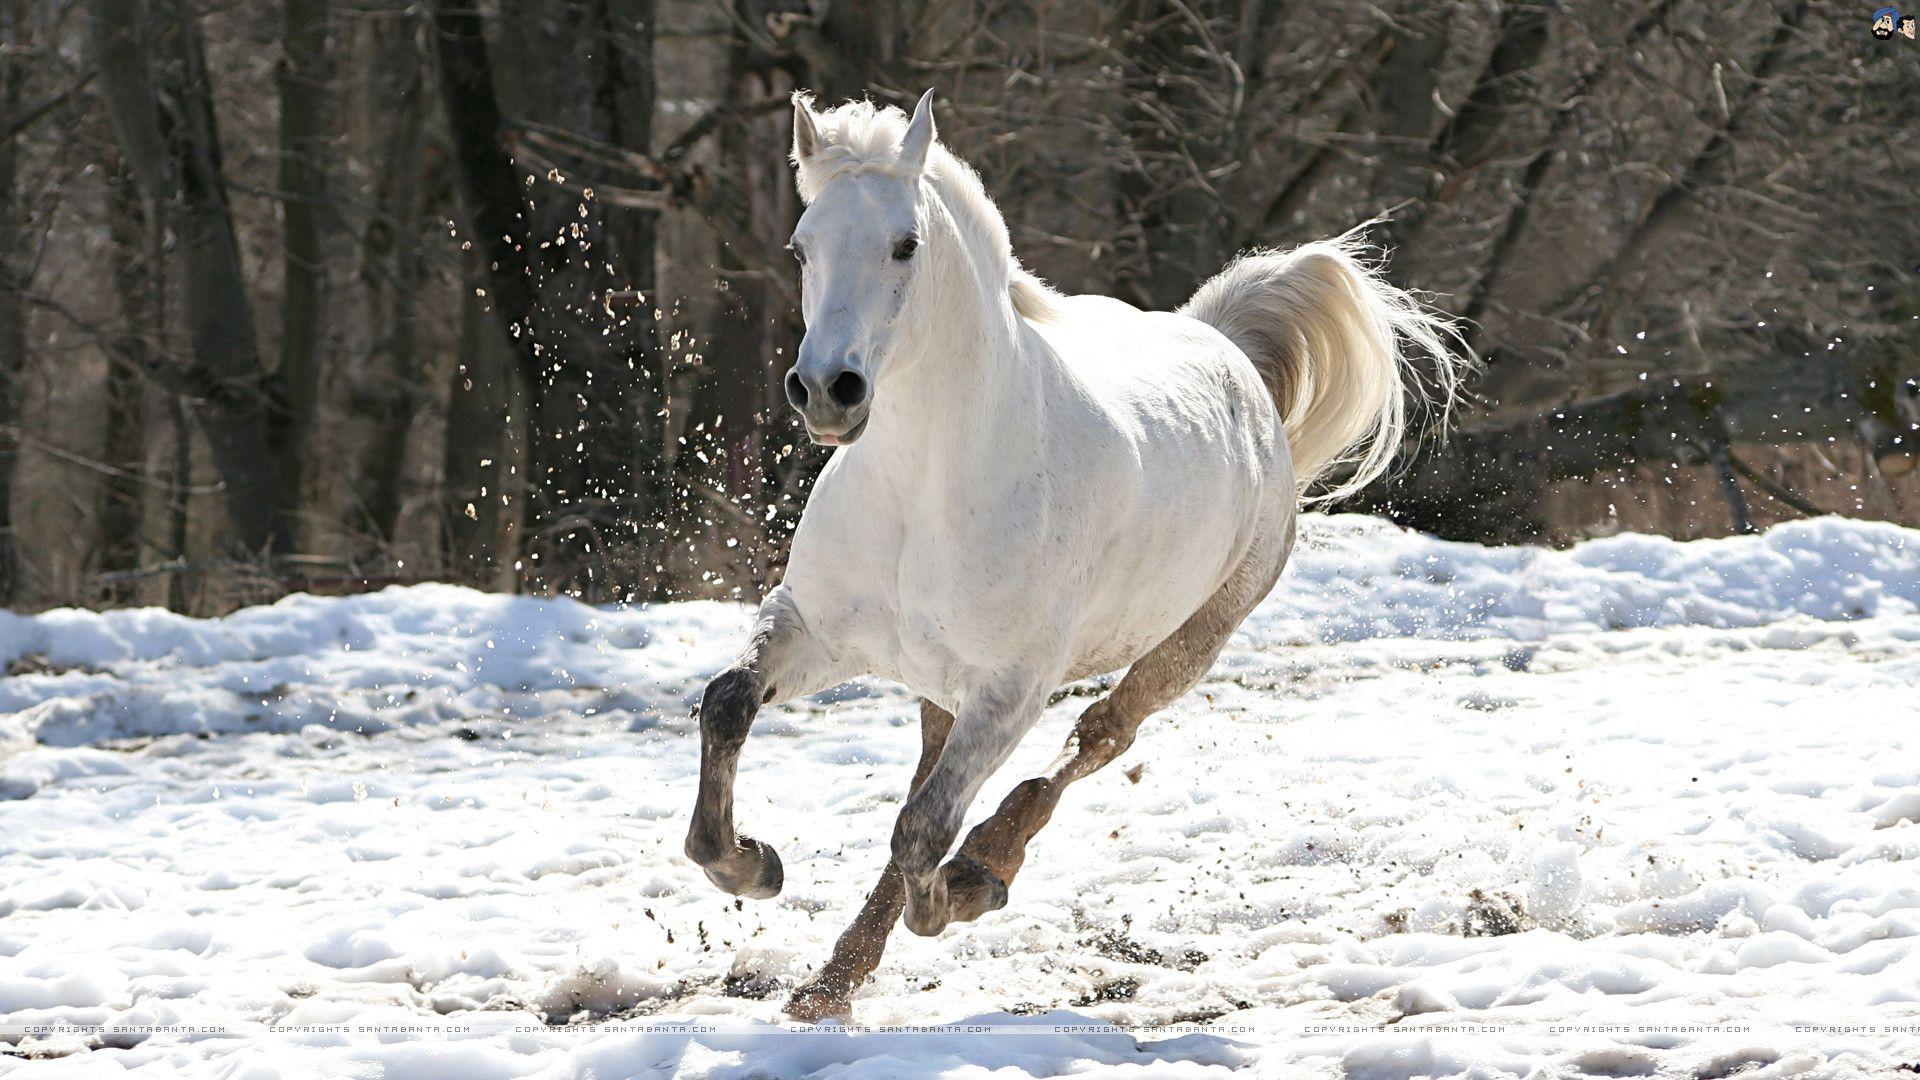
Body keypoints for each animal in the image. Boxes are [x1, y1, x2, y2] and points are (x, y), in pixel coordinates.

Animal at [683, 89, 1472, 1022]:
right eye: (801, 246)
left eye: (905, 243)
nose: (825, 391)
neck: (923, 489)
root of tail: (1226, 351)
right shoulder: (815, 631)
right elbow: (730, 702)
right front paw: (750, 864)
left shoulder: (1012, 688)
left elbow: (922, 832)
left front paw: (965, 892)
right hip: (940, 682)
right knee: (936, 774)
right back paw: (828, 984)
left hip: (1191, 640)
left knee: (1098, 737)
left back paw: (986, 866)